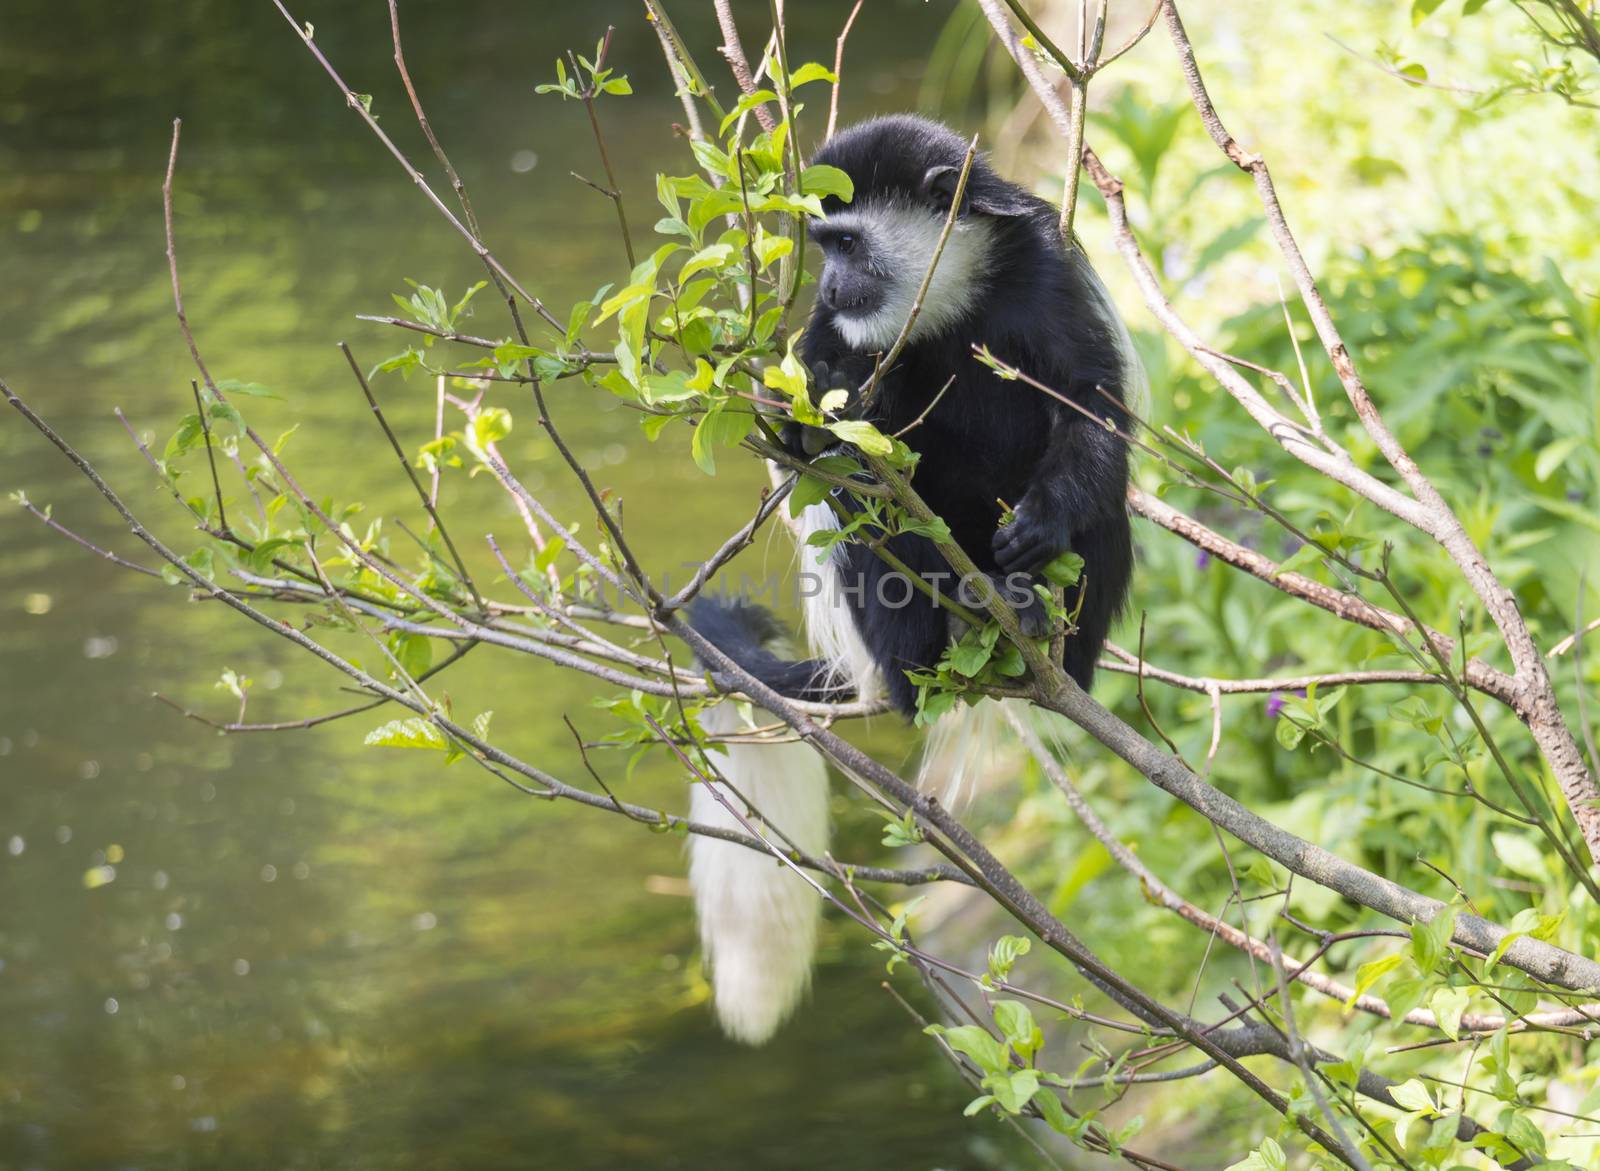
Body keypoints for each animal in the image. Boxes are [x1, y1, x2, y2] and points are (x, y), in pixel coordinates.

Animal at [684, 111, 1139, 1043]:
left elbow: (1089, 403)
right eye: (822, 246)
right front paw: (833, 418)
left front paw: (1039, 526)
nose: (829, 285)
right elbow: (813, 445)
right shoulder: (833, 342)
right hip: (883, 622)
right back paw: (937, 641)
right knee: (870, 534)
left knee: (1102, 509)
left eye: (849, 241)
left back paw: (1036, 619)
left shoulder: (1046, 275)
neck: (949, 299)